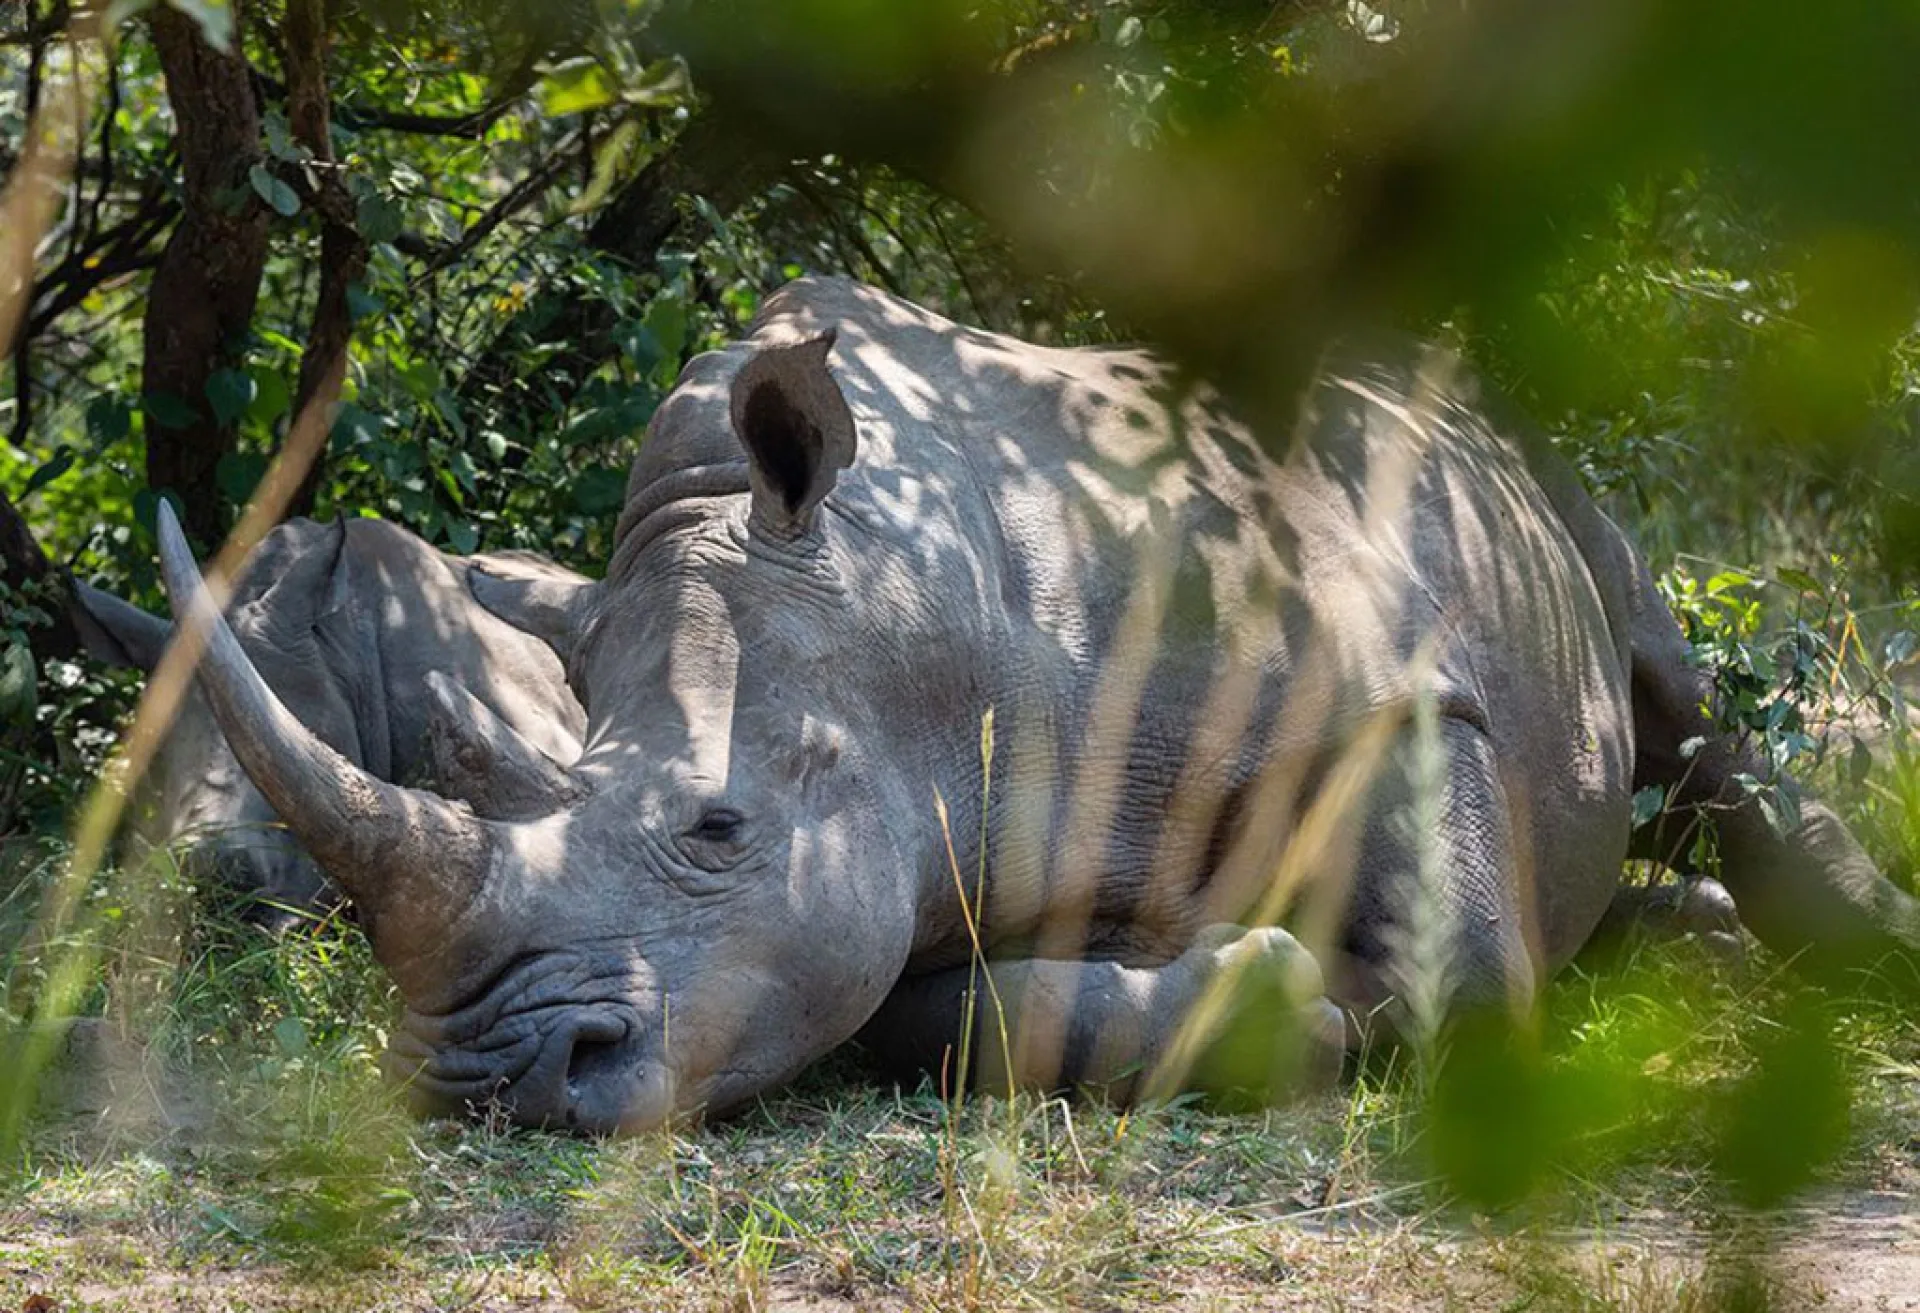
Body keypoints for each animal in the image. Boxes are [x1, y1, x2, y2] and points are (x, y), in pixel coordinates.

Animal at [154, 277, 1920, 1132]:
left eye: (717, 829)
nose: (484, 1081)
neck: (917, 616)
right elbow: (953, 1018)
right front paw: (1279, 994)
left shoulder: (1410, 697)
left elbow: (1470, 986)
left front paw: (1340, 998)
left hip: (1531, 466)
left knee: (1671, 679)